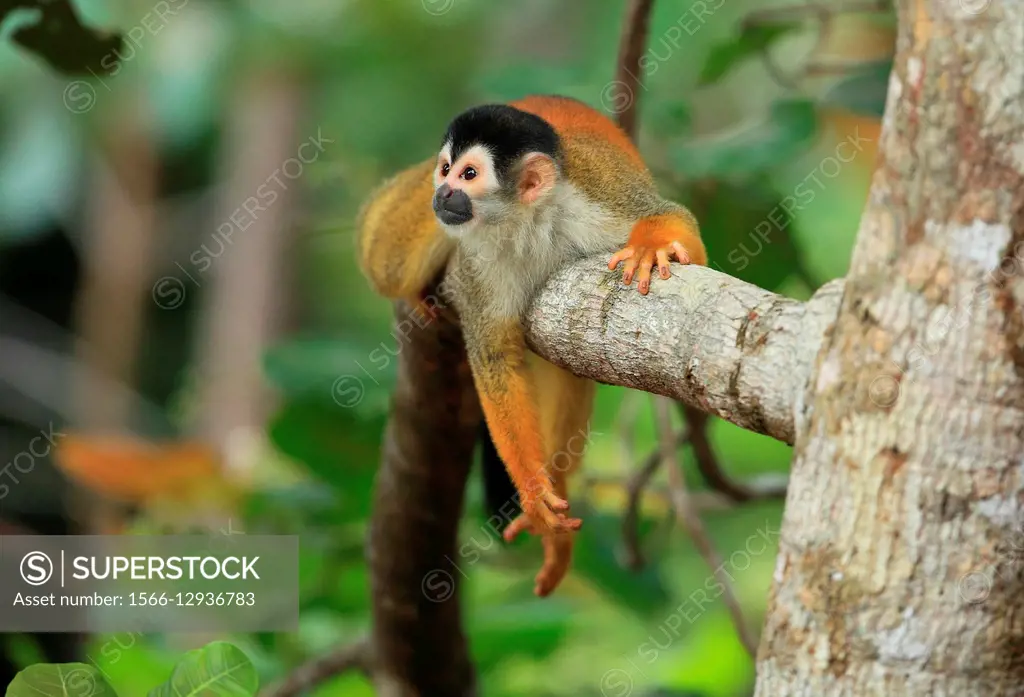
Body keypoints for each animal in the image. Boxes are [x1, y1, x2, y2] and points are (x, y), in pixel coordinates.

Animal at [358, 93, 704, 593]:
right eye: (447, 169)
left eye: (469, 175)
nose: (442, 193)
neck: (526, 220)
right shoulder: (477, 260)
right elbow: (495, 358)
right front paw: (534, 490)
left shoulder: (600, 195)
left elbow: (678, 224)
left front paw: (652, 246)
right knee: (385, 260)